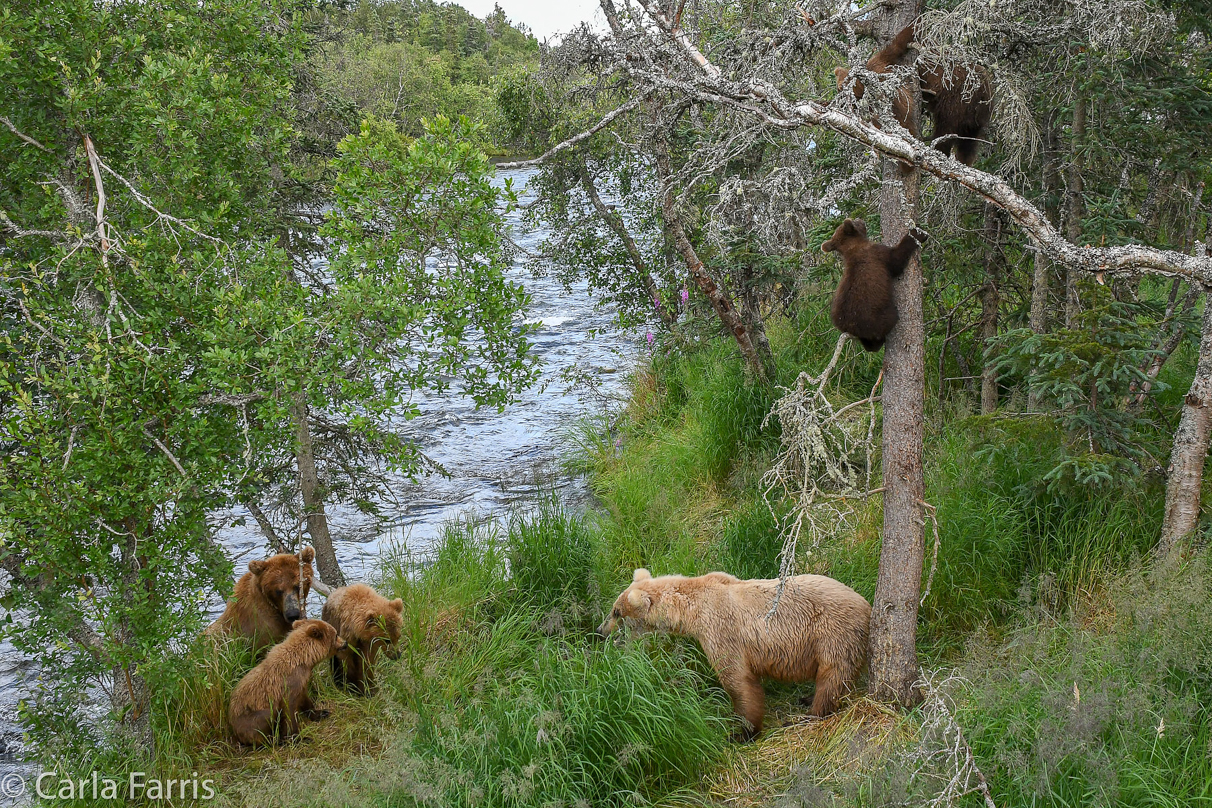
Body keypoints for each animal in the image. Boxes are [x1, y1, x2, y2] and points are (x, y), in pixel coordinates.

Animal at [598, 569, 872, 741]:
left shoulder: (721, 630)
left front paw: (742, 732)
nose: (600, 631)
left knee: (832, 676)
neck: (691, 608)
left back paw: (807, 715)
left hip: (833, 634)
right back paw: (806, 698)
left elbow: (737, 680)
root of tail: (867, 606)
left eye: (615, 612)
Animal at [824, 218, 925, 351]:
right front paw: (917, 233)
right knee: (886, 322)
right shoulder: (877, 254)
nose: (859, 219)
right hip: (874, 319)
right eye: (856, 222)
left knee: (869, 344)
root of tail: (850, 327)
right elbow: (896, 260)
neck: (853, 248)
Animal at [833, 22, 993, 164]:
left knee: (946, 127)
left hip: (956, 99)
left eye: (842, 87)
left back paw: (938, 150)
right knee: (968, 144)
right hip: (974, 117)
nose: (840, 100)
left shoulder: (884, 76)